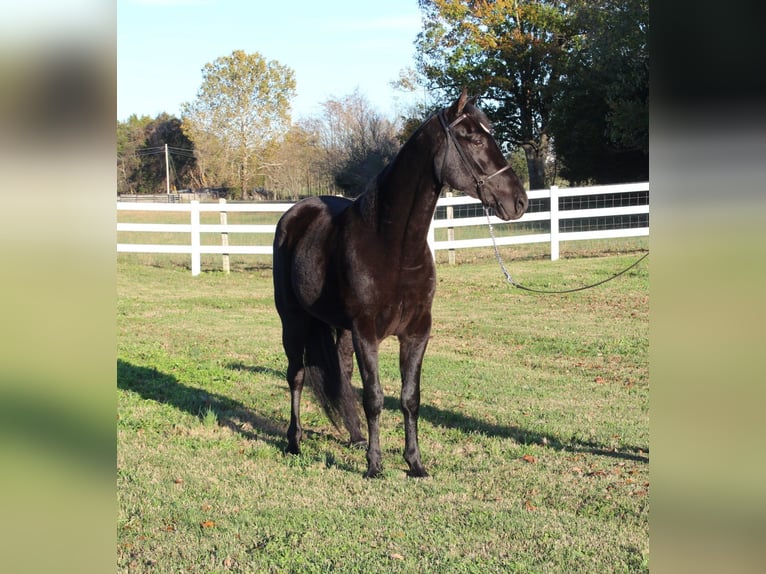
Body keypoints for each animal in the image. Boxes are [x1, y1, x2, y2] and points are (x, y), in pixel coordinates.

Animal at [272, 92, 528, 480]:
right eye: (474, 139)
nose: (519, 202)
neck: (392, 245)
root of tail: (295, 213)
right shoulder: (366, 333)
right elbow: (375, 397)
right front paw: (375, 465)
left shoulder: (417, 332)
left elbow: (409, 398)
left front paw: (414, 463)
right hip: (294, 321)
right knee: (296, 375)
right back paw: (294, 441)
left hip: (339, 328)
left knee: (342, 376)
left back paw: (355, 437)